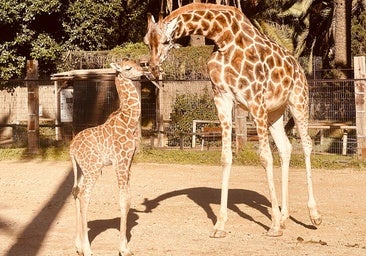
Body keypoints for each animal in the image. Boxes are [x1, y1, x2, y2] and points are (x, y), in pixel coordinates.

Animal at [69, 59, 142, 255]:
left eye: (137, 63)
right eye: (128, 68)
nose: (143, 71)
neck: (129, 119)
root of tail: (71, 148)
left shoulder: (129, 162)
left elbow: (129, 198)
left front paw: (126, 246)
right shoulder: (121, 161)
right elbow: (123, 199)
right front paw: (123, 249)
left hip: (81, 169)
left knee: (76, 192)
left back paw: (78, 246)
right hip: (93, 168)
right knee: (84, 195)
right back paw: (87, 249)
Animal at [143, 3, 320, 237]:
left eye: (165, 41)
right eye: (147, 41)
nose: (153, 68)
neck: (222, 37)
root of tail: (298, 66)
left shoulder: (255, 100)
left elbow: (265, 157)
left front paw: (272, 225)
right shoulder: (222, 97)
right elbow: (226, 157)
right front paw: (220, 225)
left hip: (298, 100)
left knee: (307, 145)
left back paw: (313, 215)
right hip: (275, 112)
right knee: (285, 148)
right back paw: (284, 218)